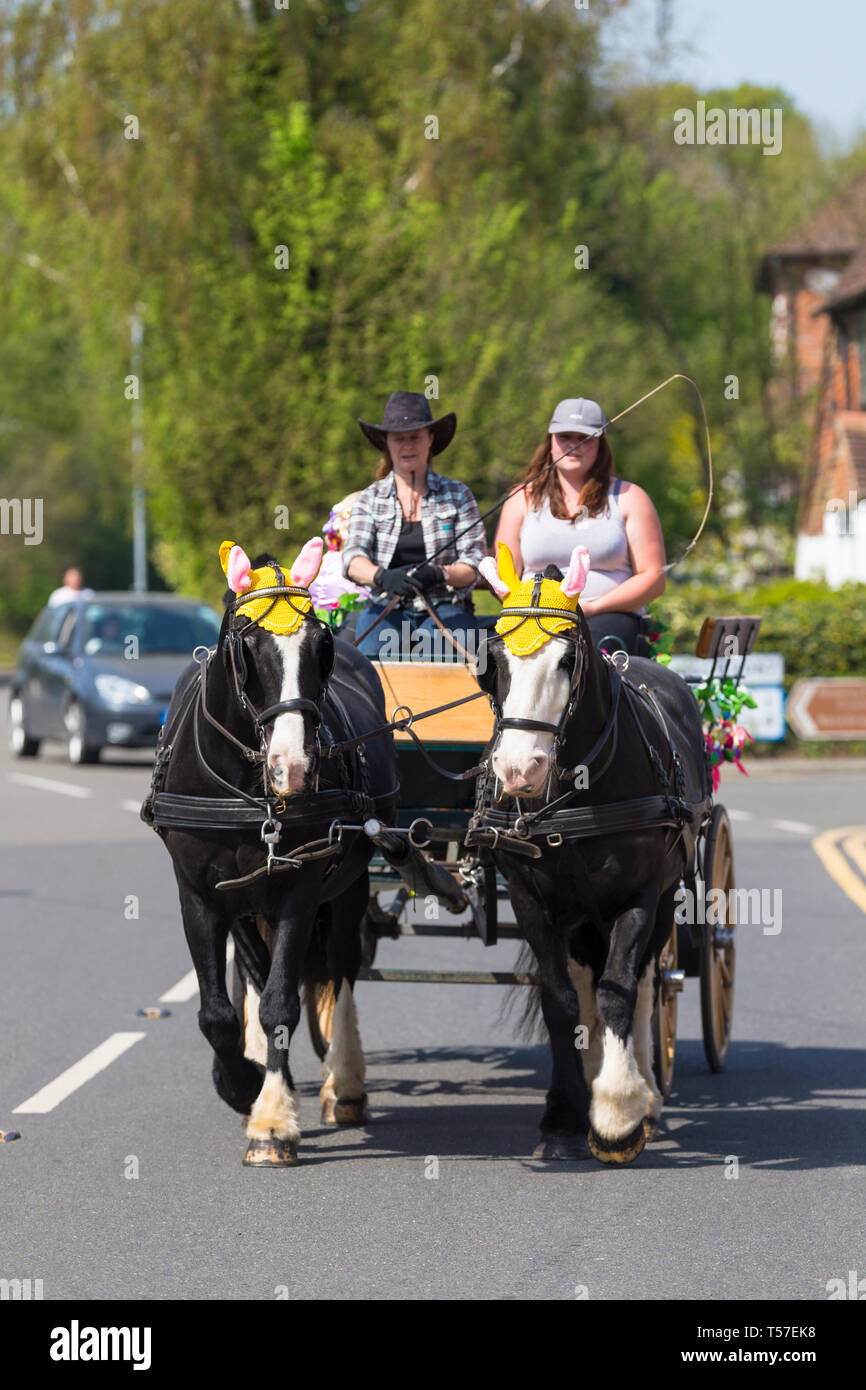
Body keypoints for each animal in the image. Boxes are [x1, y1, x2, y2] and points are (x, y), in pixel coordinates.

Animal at [143, 536, 400, 1167]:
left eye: (321, 646)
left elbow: (283, 1001)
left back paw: (344, 1085)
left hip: (350, 886)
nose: (294, 768)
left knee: (341, 967)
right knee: (254, 975)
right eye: (245, 645)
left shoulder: (299, 888)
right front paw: (241, 1082)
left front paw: (273, 1122)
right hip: (244, 907)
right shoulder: (199, 894)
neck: (245, 787)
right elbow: (219, 1011)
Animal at [475, 542, 711, 1162]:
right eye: (496, 661)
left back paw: (644, 1095)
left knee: (649, 983)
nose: (519, 769)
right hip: (579, 915)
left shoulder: (640, 895)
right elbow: (561, 1001)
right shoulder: (532, 900)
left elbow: (620, 992)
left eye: (565, 661)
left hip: (666, 898)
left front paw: (618, 1116)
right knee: (584, 984)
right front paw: (562, 1117)